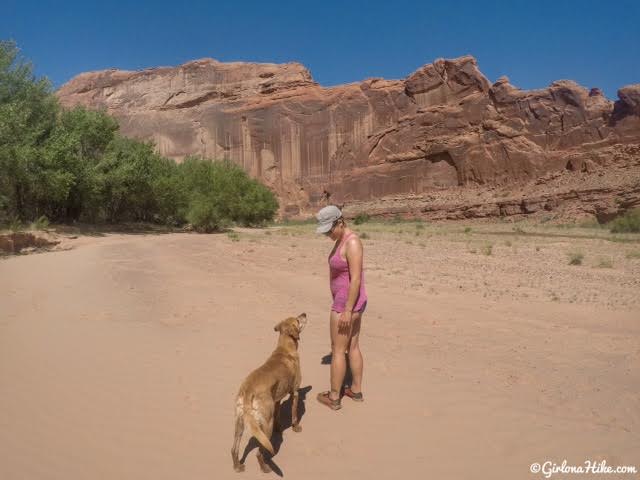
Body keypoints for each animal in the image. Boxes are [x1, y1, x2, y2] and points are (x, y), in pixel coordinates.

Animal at [232, 312, 308, 472]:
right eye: (297, 320)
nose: (304, 313)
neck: (285, 348)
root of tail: (248, 390)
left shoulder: (277, 399)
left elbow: (279, 414)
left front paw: (280, 428)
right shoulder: (295, 392)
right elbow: (294, 414)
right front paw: (296, 427)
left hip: (240, 422)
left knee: (234, 449)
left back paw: (237, 466)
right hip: (266, 423)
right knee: (259, 452)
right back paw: (265, 467)